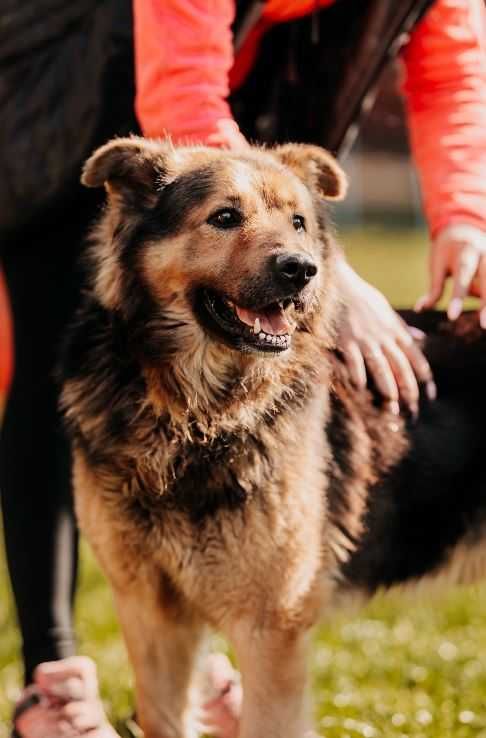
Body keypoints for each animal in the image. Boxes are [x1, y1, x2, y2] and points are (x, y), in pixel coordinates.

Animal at [60, 138, 486, 736]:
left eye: (299, 222)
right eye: (224, 217)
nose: (303, 270)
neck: (196, 416)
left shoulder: (269, 630)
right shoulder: (151, 615)